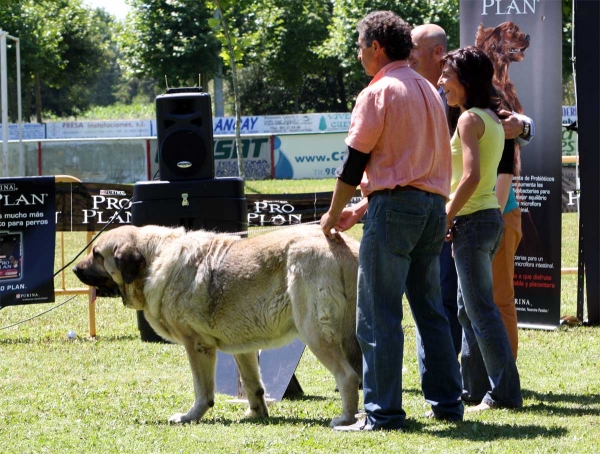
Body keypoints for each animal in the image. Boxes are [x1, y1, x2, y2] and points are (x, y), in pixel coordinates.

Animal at [72, 225, 358, 428]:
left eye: (97, 254)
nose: (74, 269)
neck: (154, 260)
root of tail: (343, 249)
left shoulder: (197, 346)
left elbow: (202, 389)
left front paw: (190, 416)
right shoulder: (243, 349)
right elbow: (253, 385)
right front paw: (256, 414)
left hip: (315, 333)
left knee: (347, 375)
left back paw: (345, 419)